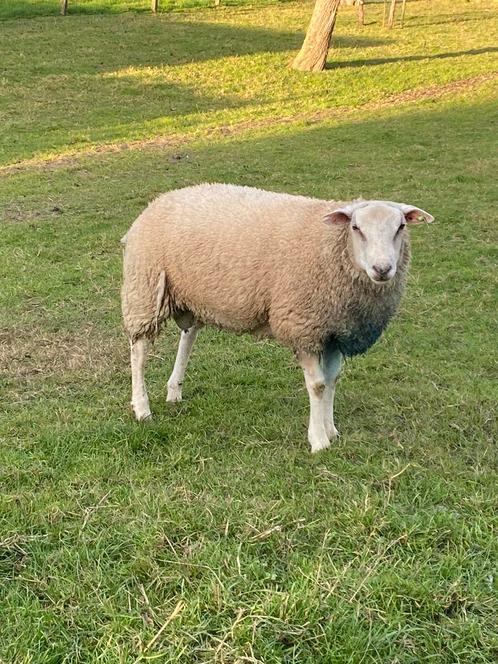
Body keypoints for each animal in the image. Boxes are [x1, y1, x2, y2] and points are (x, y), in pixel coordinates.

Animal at [120, 184, 432, 454]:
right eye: (356, 228)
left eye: (401, 227)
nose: (382, 269)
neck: (331, 247)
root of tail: (161, 198)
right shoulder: (303, 325)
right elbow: (317, 385)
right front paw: (318, 441)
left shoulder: (334, 330)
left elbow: (332, 380)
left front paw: (331, 430)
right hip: (144, 288)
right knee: (139, 351)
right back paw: (142, 408)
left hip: (191, 295)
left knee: (188, 336)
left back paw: (174, 390)